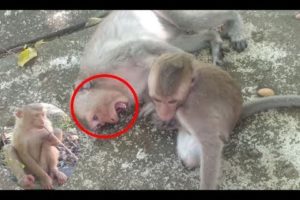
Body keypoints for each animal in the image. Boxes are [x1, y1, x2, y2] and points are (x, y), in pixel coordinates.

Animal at [74, 10, 247, 130]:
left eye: (95, 118)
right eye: (99, 123)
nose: (110, 121)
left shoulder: (106, 60)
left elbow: (143, 46)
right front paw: (153, 105)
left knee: (186, 21)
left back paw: (235, 24)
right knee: (182, 39)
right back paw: (213, 39)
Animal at [146, 52, 300, 189]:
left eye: (172, 101)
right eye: (157, 99)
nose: (164, 114)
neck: (191, 87)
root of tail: (238, 114)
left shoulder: (195, 107)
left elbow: (212, 143)